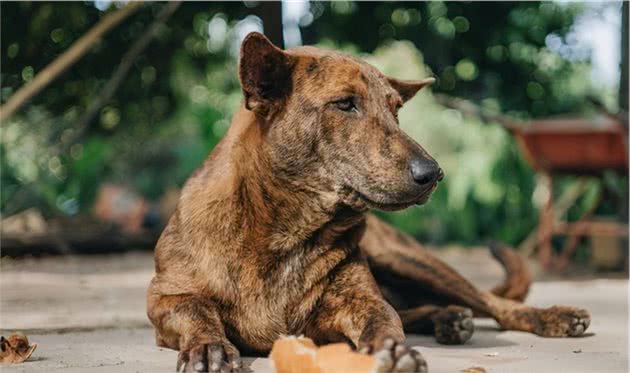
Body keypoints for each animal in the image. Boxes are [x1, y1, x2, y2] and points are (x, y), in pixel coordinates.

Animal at [148, 32, 592, 372]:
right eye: (346, 103)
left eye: (396, 111)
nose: (433, 174)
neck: (284, 230)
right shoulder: (164, 300)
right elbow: (198, 313)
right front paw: (209, 346)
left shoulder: (359, 302)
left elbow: (384, 319)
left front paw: (392, 352)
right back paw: (448, 318)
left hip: (407, 259)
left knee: (490, 302)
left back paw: (551, 316)